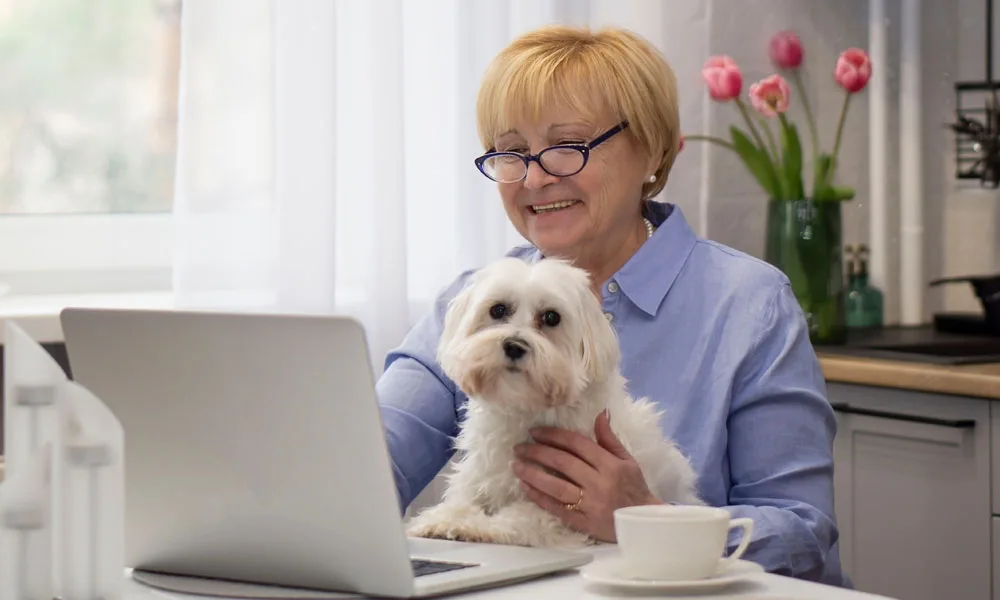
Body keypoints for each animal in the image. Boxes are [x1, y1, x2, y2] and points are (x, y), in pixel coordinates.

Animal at [406, 255, 704, 548]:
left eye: (551, 317)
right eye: (498, 310)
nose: (514, 345)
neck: (526, 409)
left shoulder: (558, 506)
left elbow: (521, 518)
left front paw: (476, 526)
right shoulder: (480, 473)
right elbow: (462, 498)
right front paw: (441, 518)